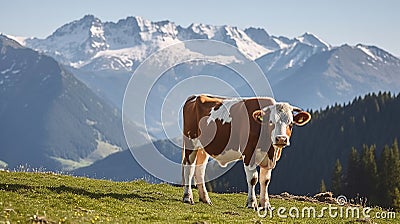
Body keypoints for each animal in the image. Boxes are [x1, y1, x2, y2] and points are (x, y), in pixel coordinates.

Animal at [182, 93, 312, 209]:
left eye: (290, 123)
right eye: (271, 122)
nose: (281, 139)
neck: (269, 149)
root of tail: (194, 96)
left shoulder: (269, 159)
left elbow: (265, 180)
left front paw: (266, 205)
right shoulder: (249, 154)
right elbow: (253, 179)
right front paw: (251, 203)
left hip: (202, 149)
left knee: (200, 170)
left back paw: (205, 199)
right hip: (190, 142)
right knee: (189, 168)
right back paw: (187, 197)